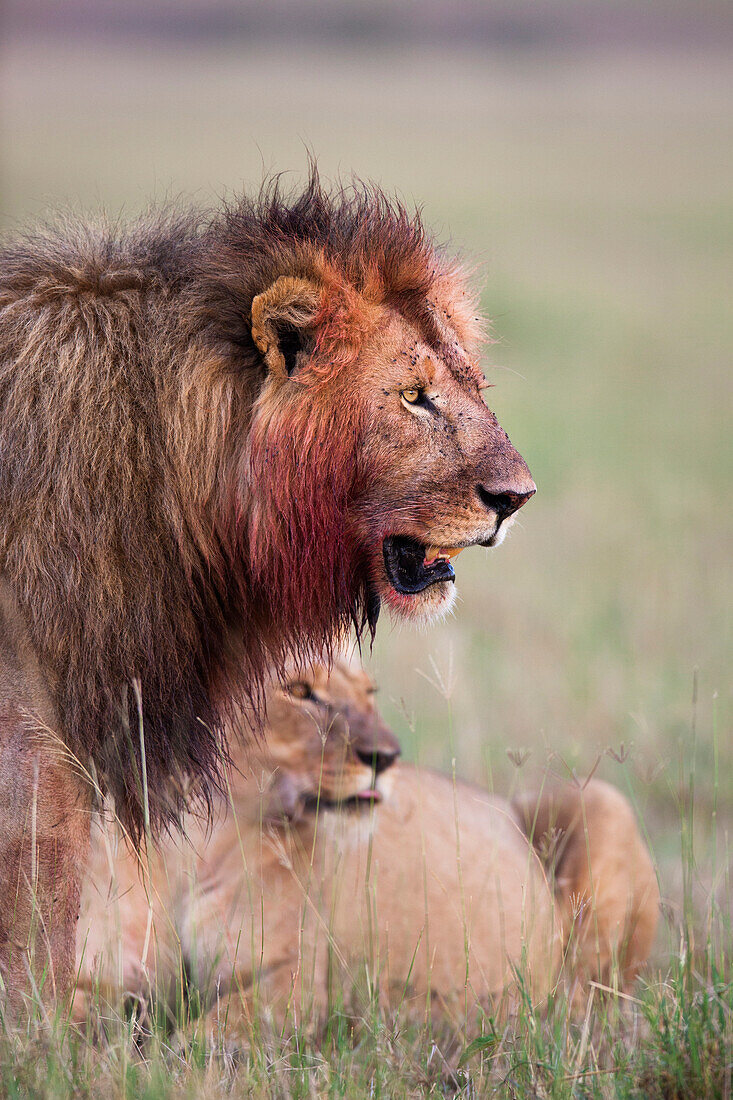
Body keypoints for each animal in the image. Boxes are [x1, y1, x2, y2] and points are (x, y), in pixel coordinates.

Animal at [75, 660, 655, 1038]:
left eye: (370, 692)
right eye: (300, 690)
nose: (387, 756)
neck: (193, 840)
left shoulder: (292, 983)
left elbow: (197, 1042)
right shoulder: (98, 974)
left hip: (603, 803)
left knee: (589, 1001)